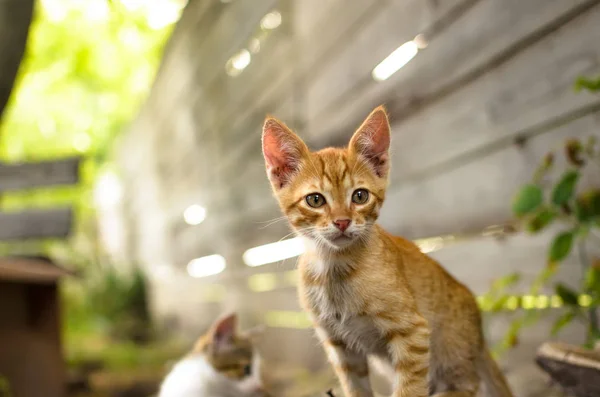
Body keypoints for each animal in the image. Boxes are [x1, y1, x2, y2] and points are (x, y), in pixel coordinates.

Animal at [260, 106, 512, 396]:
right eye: (315, 200)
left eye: (359, 196)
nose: (342, 222)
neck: (334, 267)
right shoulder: (340, 348)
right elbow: (356, 389)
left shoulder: (413, 332)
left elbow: (409, 389)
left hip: (449, 351)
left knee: (467, 383)